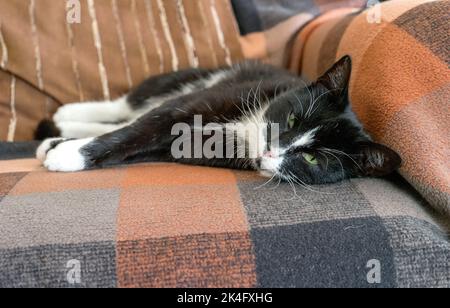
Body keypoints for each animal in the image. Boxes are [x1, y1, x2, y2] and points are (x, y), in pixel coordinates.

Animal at [35, 56, 400, 184]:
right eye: (293, 118)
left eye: (312, 159)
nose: (272, 151)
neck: (248, 131)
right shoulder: (202, 100)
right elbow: (140, 128)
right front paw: (72, 154)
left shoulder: (193, 147)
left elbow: (144, 144)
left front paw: (65, 150)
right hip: (189, 76)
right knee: (128, 107)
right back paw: (68, 116)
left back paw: (57, 135)